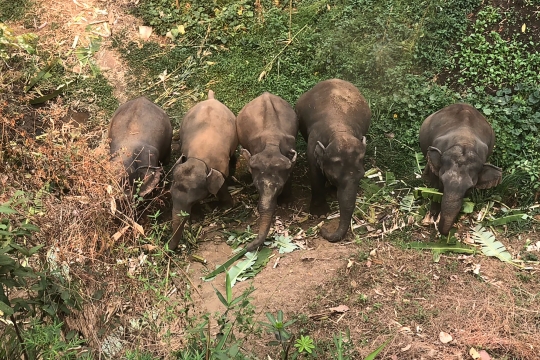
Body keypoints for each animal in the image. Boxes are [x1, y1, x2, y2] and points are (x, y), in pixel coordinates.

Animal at [169, 90, 236, 250]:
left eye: (192, 201)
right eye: (170, 195)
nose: (169, 248)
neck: (198, 160)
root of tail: (211, 99)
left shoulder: (220, 167)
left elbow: (222, 185)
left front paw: (226, 207)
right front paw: (197, 217)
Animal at [296, 78, 372, 242]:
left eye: (361, 176)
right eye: (334, 177)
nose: (322, 229)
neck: (339, 131)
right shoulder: (313, 144)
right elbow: (315, 174)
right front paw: (320, 214)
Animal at [420, 102, 504, 235]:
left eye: (469, 189)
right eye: (442, 182)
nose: (443, 231)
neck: (464, 142)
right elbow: (434, 186)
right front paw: (432, 215)